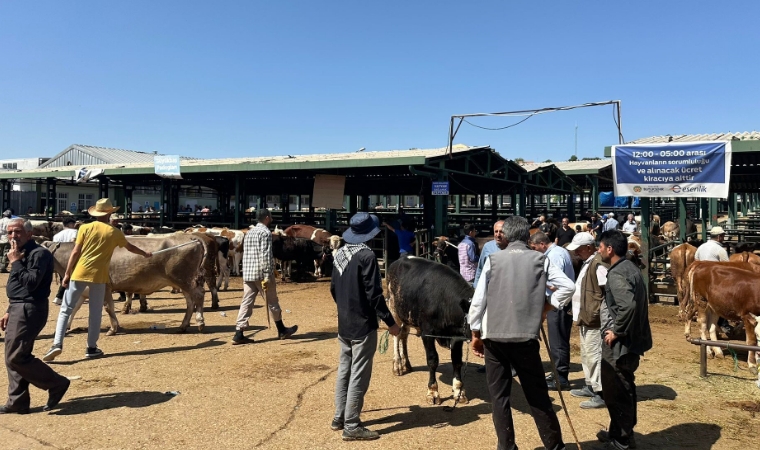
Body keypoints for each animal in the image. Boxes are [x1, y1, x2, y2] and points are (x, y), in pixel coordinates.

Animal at [386, 255, 476, 406]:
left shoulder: (457, 336)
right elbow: (433, 360)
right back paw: (397, 365)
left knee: (404, 335)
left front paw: (459, 392)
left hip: (407, 316)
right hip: (394, 308)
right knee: (396, 336)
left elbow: (457, 361)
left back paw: (407, 364)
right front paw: (433, 392)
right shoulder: (427, 333)